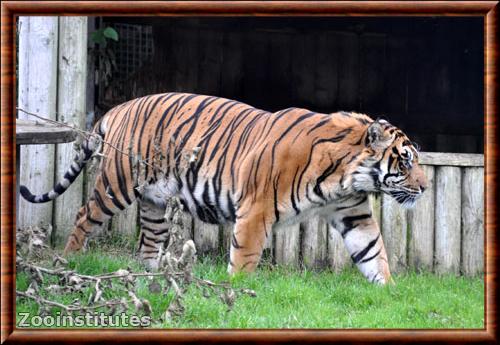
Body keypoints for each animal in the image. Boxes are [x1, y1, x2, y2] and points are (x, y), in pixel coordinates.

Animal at [18, 91, 426, 282]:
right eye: (406, 161)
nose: (424, 187)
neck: (344, 176)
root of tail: (119, 107)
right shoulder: (256, 211)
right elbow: (244, 258)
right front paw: (238, 291)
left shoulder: (353, 213)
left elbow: (373, 252)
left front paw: (389, 293)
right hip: (116, 185)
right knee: (83, 217)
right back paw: (68, 261)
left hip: (155, 203)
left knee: (148, 244)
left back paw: (153, 277)